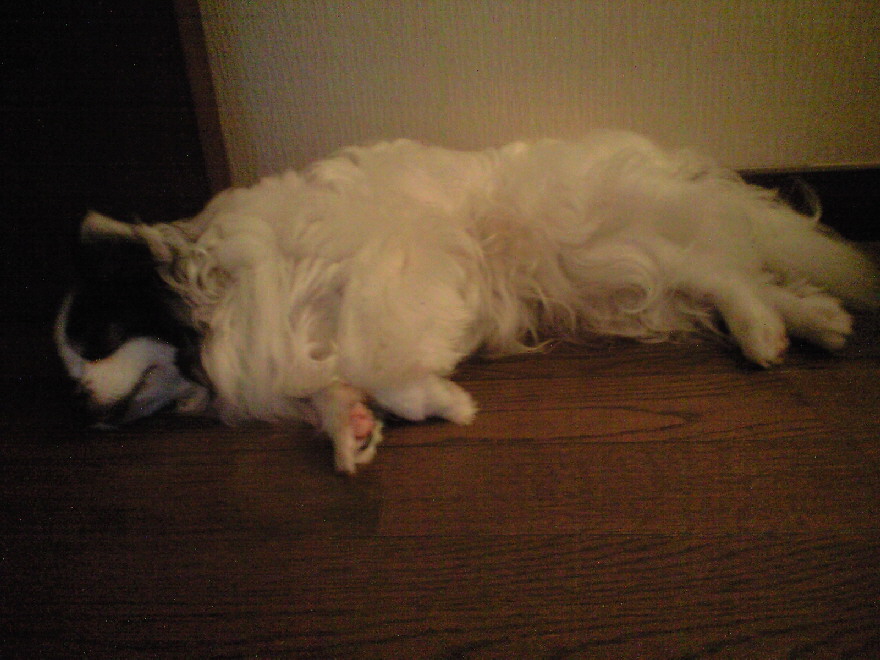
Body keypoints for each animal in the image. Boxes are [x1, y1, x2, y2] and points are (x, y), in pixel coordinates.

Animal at [55, 131, 878, 472]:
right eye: (69, 368)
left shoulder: (382, 274)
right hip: (619, 292)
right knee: (738, 273)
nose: (79, 409)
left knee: (718, 271)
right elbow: (328, 389)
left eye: (99, 338)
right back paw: (813, 323)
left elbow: (369, 360)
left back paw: (764, 330)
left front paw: (441, 402)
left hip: (599, 252)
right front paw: (354, 434)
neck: (221, 297)